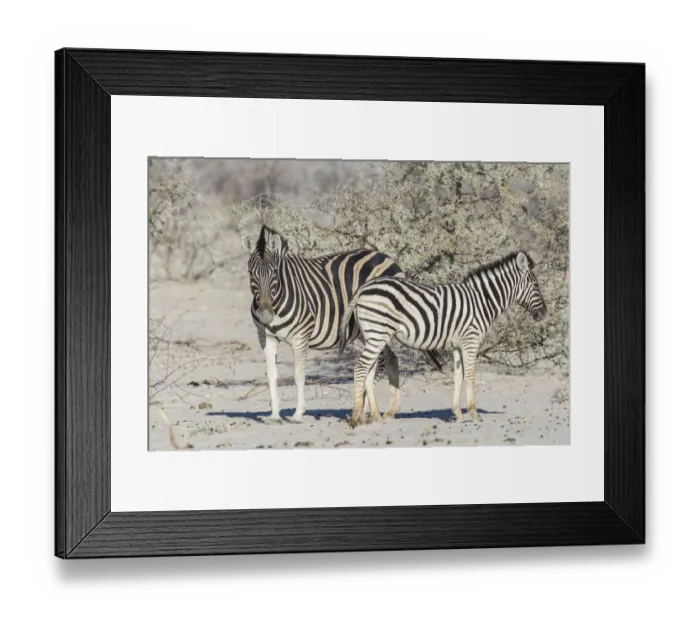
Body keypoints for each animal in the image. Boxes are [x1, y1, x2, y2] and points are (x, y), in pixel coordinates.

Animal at [241, 225, 444, 423]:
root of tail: (386, 258)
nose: (266, 315)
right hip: (370, 330)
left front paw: (298, 414)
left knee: (378, 363)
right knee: (390, 359)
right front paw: (275, 415)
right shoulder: (266, 337)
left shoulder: (301, 336)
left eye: (274, 272)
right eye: (251, 273)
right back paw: (386, 411)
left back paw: (365, 410)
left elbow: (299, 376)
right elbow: (271, 375)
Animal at [339, 251, 547, 427]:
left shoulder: (457, 345)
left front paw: (458, 414)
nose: (544, 314)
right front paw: (474, 413)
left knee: (369, 372)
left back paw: (377, 417)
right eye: (536, 286)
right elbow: (470, 376)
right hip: (377, 333)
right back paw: (358, 417)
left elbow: (458, 377)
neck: (481, 302)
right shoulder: (471, 341)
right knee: (361, 368)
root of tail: (363, 289)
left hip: (373, 336)